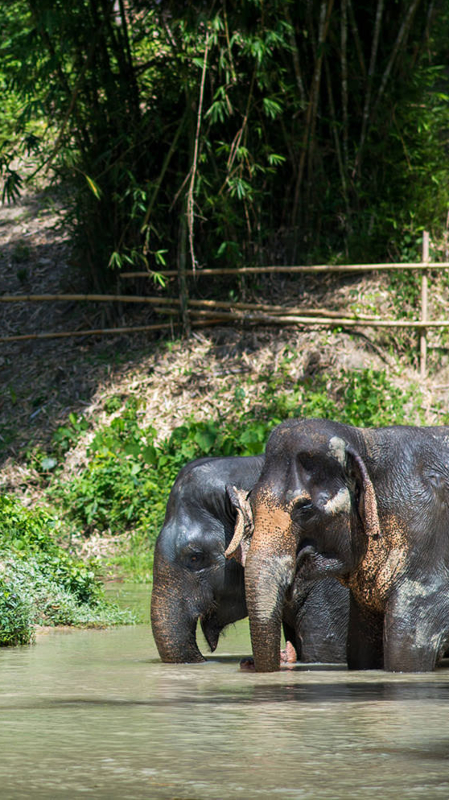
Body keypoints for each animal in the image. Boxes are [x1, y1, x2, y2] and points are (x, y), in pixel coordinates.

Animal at [227, 417, 449, 672]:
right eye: (251, 502)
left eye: (304, 507)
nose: (247, 661)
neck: (365, 442)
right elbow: (361, 653)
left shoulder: (425, 547)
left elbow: (406, 652)